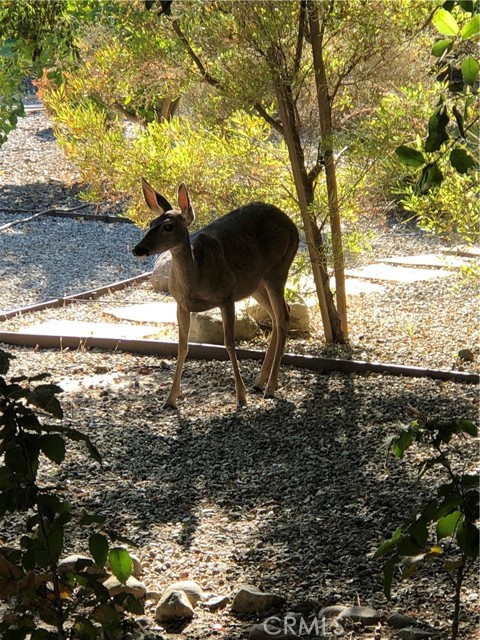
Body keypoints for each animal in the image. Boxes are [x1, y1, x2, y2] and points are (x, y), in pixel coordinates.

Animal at [133, 179, 298, 410]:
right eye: (150, 223)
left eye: (168, 226)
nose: (138, 249)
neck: (197, 277)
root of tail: (292, 225)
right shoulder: (181, 304)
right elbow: (182, 347)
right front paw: (170, 399)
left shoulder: (227, 296)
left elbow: (229, 344)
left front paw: (240, 396)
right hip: (255, 283)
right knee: (279, 315)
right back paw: (259, 382)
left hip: (279, 266)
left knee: (283, 317)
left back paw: (270, 387)